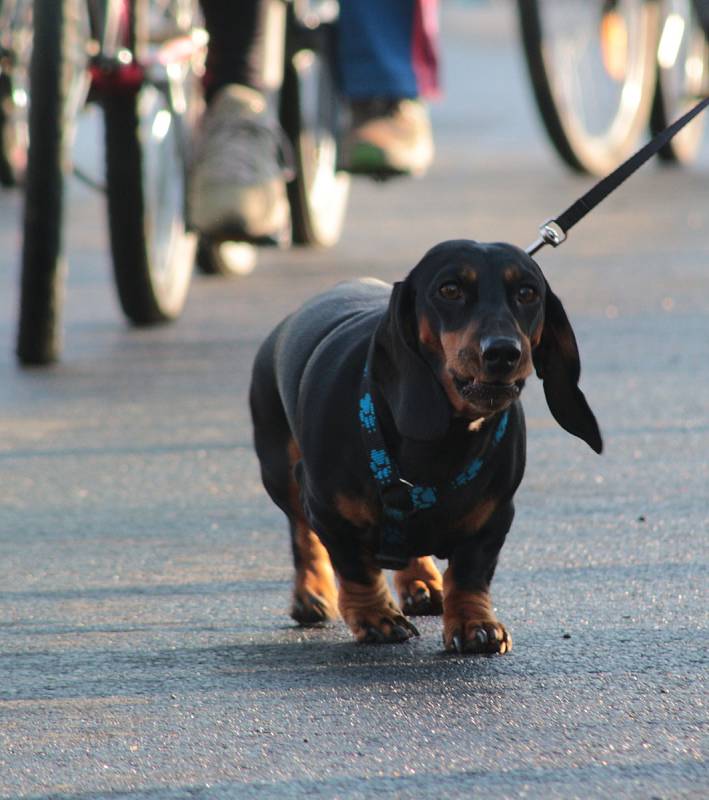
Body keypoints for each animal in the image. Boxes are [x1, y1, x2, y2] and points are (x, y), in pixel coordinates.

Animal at [246, 236, 600, 648]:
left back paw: (422, 583)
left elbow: (469, 572)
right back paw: (311, 595)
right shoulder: (327, 510)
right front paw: (376, 617)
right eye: (449, 289)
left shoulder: (495, 518)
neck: (440, 442)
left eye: (527, 293)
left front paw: (473, 624)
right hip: (280, 473)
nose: (503, 352)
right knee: (303, 534)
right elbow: (354, 566)